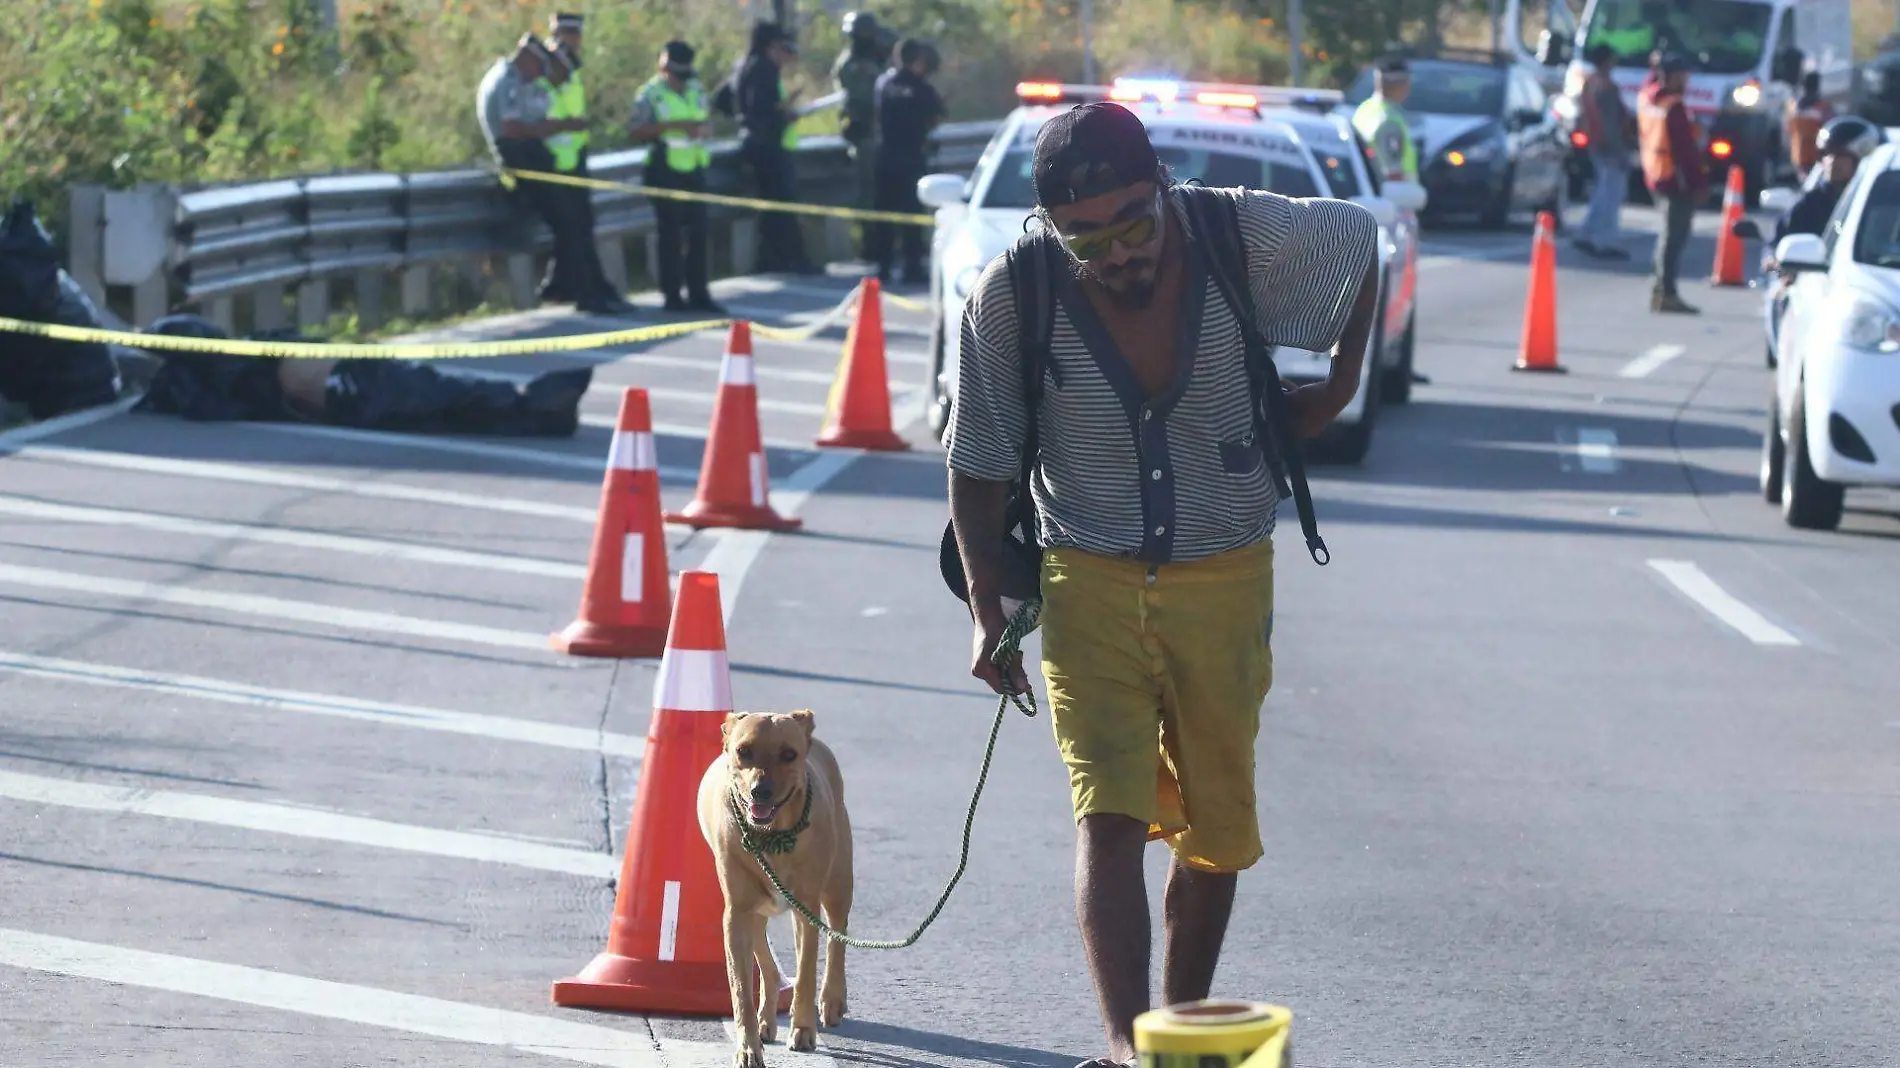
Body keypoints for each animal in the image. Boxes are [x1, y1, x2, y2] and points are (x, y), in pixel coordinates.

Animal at [699, 706, 855, 1064]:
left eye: (788, 754)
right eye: (743, 751)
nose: (761, 790)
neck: (772, 837)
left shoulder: (808, 908)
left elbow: (807, 969)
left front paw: (803, 1029)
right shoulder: (737, 914)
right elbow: (741, 987)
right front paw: (747, 1046)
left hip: (838, 881)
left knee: (837, 935)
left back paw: (831, 999)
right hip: (757, 910)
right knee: (768, 967)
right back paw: (766, 1020)